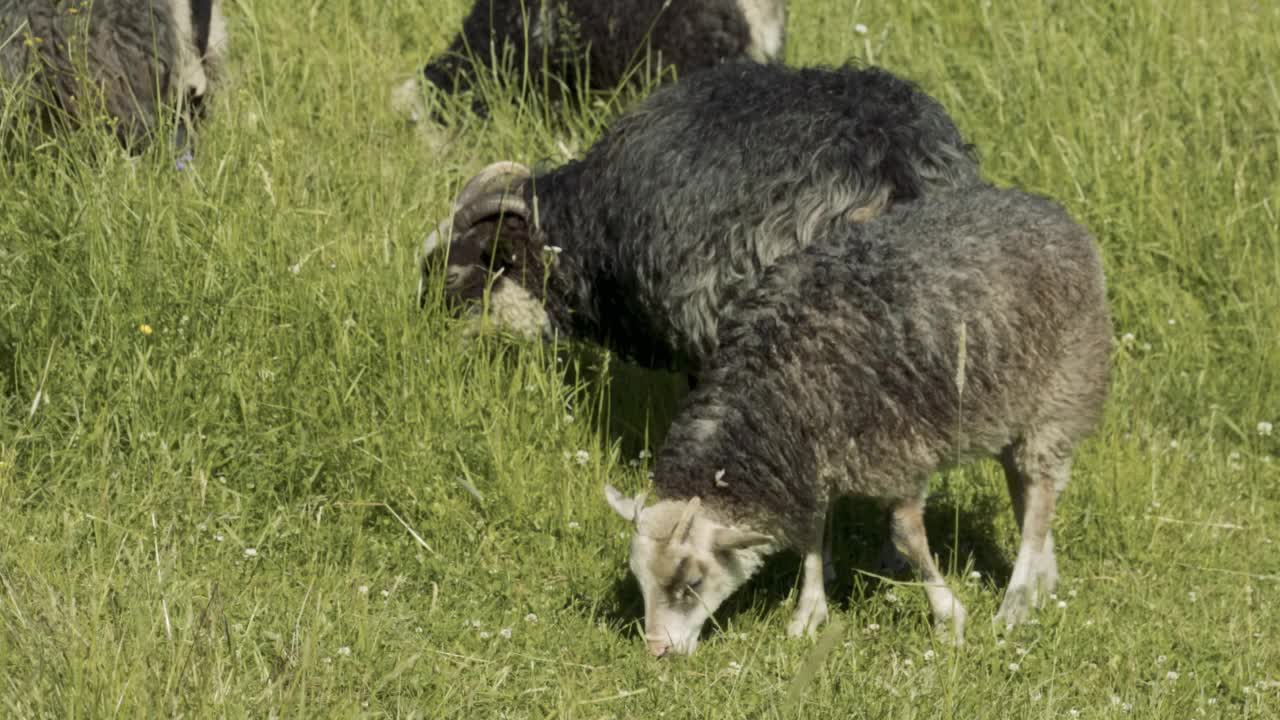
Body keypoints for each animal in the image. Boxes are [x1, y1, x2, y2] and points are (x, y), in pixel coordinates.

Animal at [601, 181, 1111, 653]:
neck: (773, 385)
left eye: (691, 584)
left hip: (1060, 396)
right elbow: (810, 531)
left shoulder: (899, 450)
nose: (657, 651)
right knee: (1027, 490)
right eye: (639, 580)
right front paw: (809, 612)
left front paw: (948, 615)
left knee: (1040, 492)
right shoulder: (810, 456)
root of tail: (1050, 210)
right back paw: (1044, 578)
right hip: (1016, 408)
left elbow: (906, 535)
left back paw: (1016, 601)